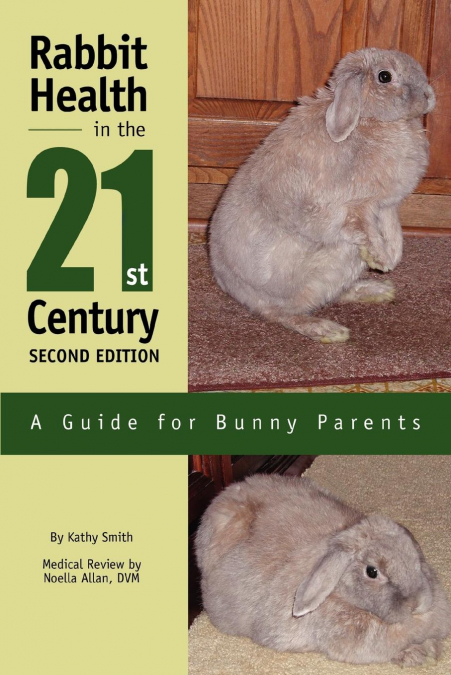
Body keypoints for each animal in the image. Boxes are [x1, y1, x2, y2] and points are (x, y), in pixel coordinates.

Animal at [209, 49, 435, 343]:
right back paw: (327, 330)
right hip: (325, 266)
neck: (369, 118)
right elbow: (364, 230)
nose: (429, 96)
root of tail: (233, 288)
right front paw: (379, 258)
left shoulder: (386, 207)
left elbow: (395, 235)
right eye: (385, 76)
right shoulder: (357, 206)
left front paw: (389, 261)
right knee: (284, 314)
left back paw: (377, 290)